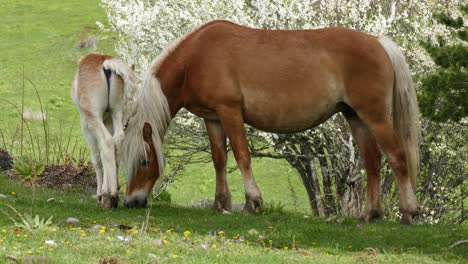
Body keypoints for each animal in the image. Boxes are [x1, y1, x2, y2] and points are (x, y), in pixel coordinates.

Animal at [71, 53, 136, 208]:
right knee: (117, 140)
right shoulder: (108, 121)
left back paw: (110, 197)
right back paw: (112, 194)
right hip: (116, 112)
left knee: (106, 142)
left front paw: (100, 194)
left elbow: (96, 157)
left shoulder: (86, 124)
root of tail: (107, 64)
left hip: (92, 115)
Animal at [122, 20, 418, 224]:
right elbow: (219, 159)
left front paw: (252, 203)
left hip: (375, 117)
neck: (196, 58)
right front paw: (221, 203)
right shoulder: (212, 118)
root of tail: (378, 42)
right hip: (356, 117)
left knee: (397, 157)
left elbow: (242, 155)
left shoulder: (230, 112)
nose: (130, 202)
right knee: (373, 162)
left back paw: (409, 213)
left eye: (145, 161)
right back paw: (370, 214)